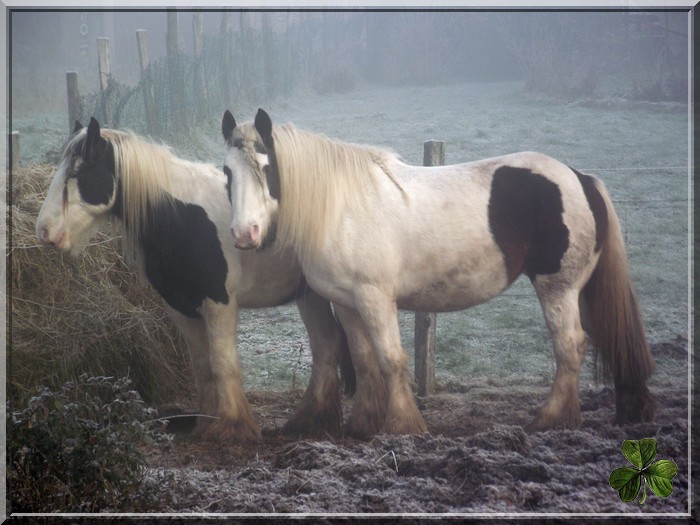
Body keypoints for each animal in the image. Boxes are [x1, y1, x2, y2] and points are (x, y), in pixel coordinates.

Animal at [37, 116, 356, 440]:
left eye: (77, 173)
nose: (45, 231)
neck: (180, 215)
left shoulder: (219, 304)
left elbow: (222, 363)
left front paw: (230, 427)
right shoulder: (182, 308)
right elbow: (203, 367)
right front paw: (206, 422)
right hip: (310, 295)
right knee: (326, 344)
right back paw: (311, 420)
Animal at [220, 108, 656, 436]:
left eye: (265, 167)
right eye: (227, 172)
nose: (244, 234)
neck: (340, 208)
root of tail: (581, 179)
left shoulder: (375, 298)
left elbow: (391, 358)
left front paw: (403, 426)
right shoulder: (346, 303)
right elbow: (364, 360)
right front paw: (364, 424)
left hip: (558, 288)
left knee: (570, 346)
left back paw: (551, 419)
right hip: (578, 291)